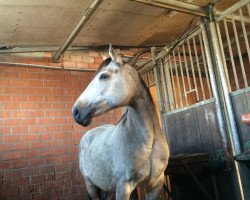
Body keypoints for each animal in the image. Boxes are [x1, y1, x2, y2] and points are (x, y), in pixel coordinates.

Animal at [72, 45, 170, 200]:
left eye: (104, 76)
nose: (76, 111)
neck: (148, 144)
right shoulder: (124, 187)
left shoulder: (156, 185)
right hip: (90, 184)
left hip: (108, 188)